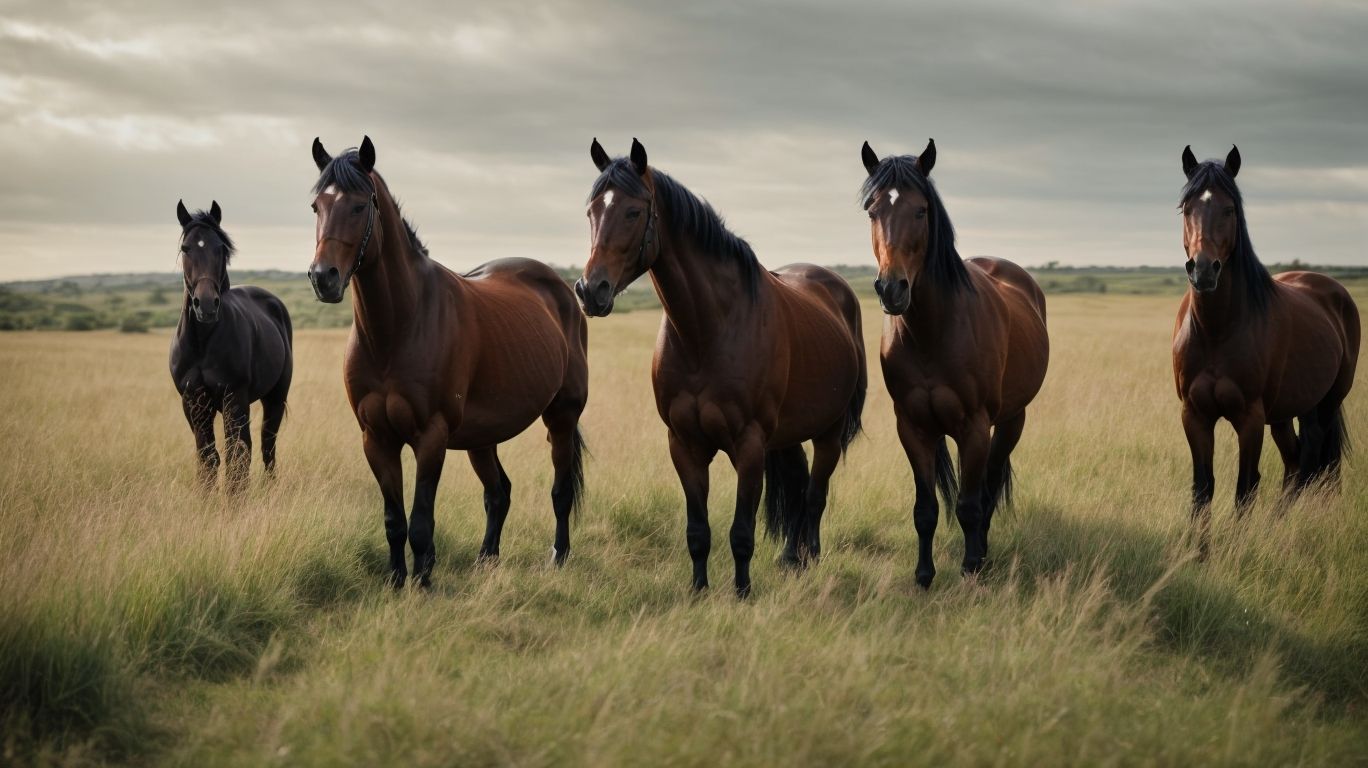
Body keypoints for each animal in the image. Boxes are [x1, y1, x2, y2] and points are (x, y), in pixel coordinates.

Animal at [170, 200, 293, 493]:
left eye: (221, 248)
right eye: (185, 248)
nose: (205, 305)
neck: (202, 344)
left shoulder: (234, 399)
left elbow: (237, 456)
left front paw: (236, 499)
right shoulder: (193, 403)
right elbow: (207, 456)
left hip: (275, 397)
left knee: (267, 445)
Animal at [308, 136, 589, 589]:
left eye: (359, 206)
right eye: (317, 205)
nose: (323, 278)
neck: (397, 330)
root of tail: (563, 291)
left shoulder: (430, 438)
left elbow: (421, 521)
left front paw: (423, 584)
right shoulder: (376, 439)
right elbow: (394, 520)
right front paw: (397, 582)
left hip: (561, 416)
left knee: (560, 491)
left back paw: (558, 557)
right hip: (482, 435)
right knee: (498, 492)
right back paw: (486, 560)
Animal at [577, 138, 867, 598]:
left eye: (633, 212)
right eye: (591, 211)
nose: (591, 290)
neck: (708, 331)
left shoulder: (748, 445)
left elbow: (741, 531)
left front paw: (742, 592)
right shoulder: (684, 444)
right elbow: (698, 530)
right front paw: (699, 589)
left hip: (829, 432)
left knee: (815, 494)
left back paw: (810, 559)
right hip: (787, 435)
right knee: (799, 488)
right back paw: (791, 557)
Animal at [859, 139, 1049, 588]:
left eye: (921, 210)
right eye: (872, 211)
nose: (891, 288)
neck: (934, 330)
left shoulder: (975, 426)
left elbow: (969, 505)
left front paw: (971, 569)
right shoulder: (912, 427)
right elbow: (925, 509)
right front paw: (924, 576)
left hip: (1012, 420)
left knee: (988, 487)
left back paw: (983, 552)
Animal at [1173, 145, 1359, 554]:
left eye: (1230, 209)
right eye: (1187, 208)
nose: (1203, 270)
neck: (1217, 330)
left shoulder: (1250, 417)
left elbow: (1246, 486)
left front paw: (1236, 547)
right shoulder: (1194, 414)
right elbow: (1203, 486)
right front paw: (1198, 552)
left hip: (1325, 404)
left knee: (1313, 464)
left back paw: (1278, 526)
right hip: (1287, 412)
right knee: (1296, 465)